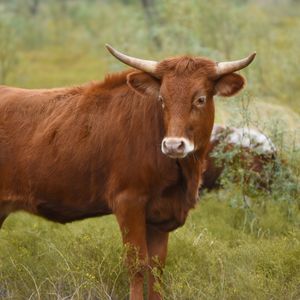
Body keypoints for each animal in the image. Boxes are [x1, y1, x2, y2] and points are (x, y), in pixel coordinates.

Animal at [0, 45, 255, 300]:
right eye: (162, 99)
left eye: (200, 99)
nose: (173, 145)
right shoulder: (128, 203)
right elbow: (137, 264)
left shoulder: (161, 216)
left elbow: (156, 268)